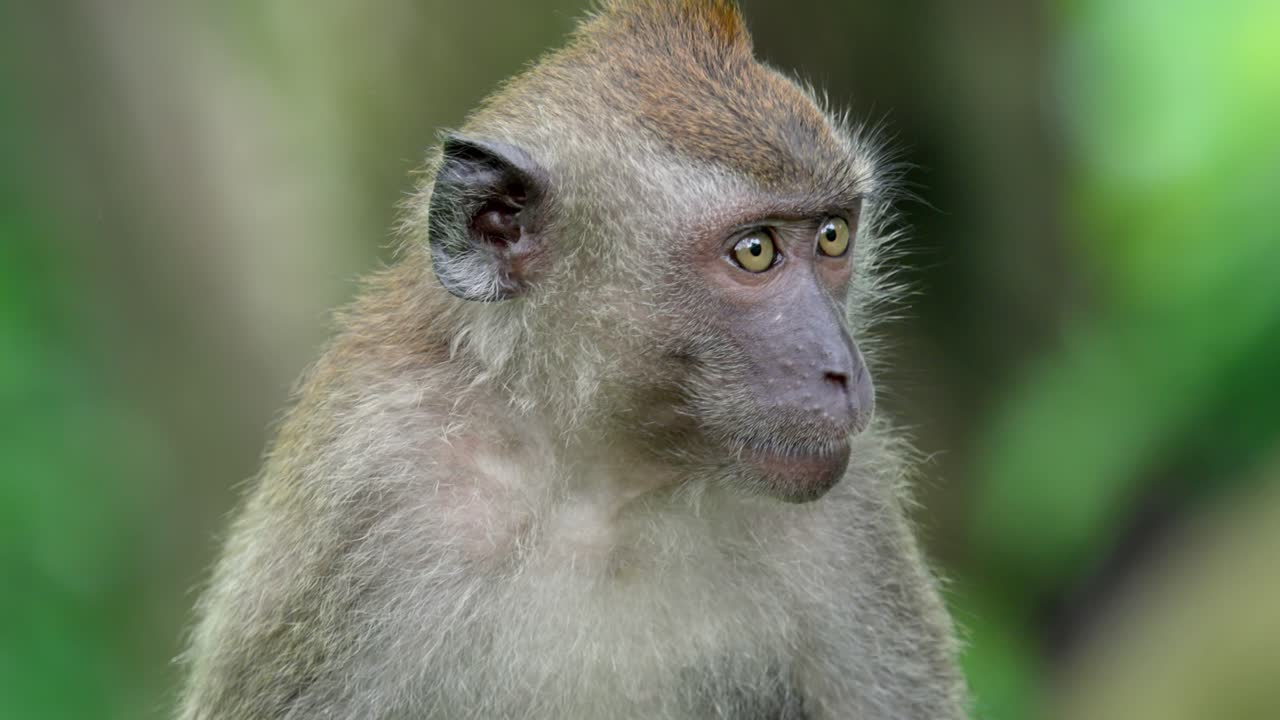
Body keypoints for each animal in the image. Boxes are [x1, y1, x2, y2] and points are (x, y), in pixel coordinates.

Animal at [177, 1, 969, 718]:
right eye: (755, 251)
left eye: (833, 236)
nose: (843, 369)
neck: (598, 480)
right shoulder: (365, 491)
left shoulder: (853, 515)